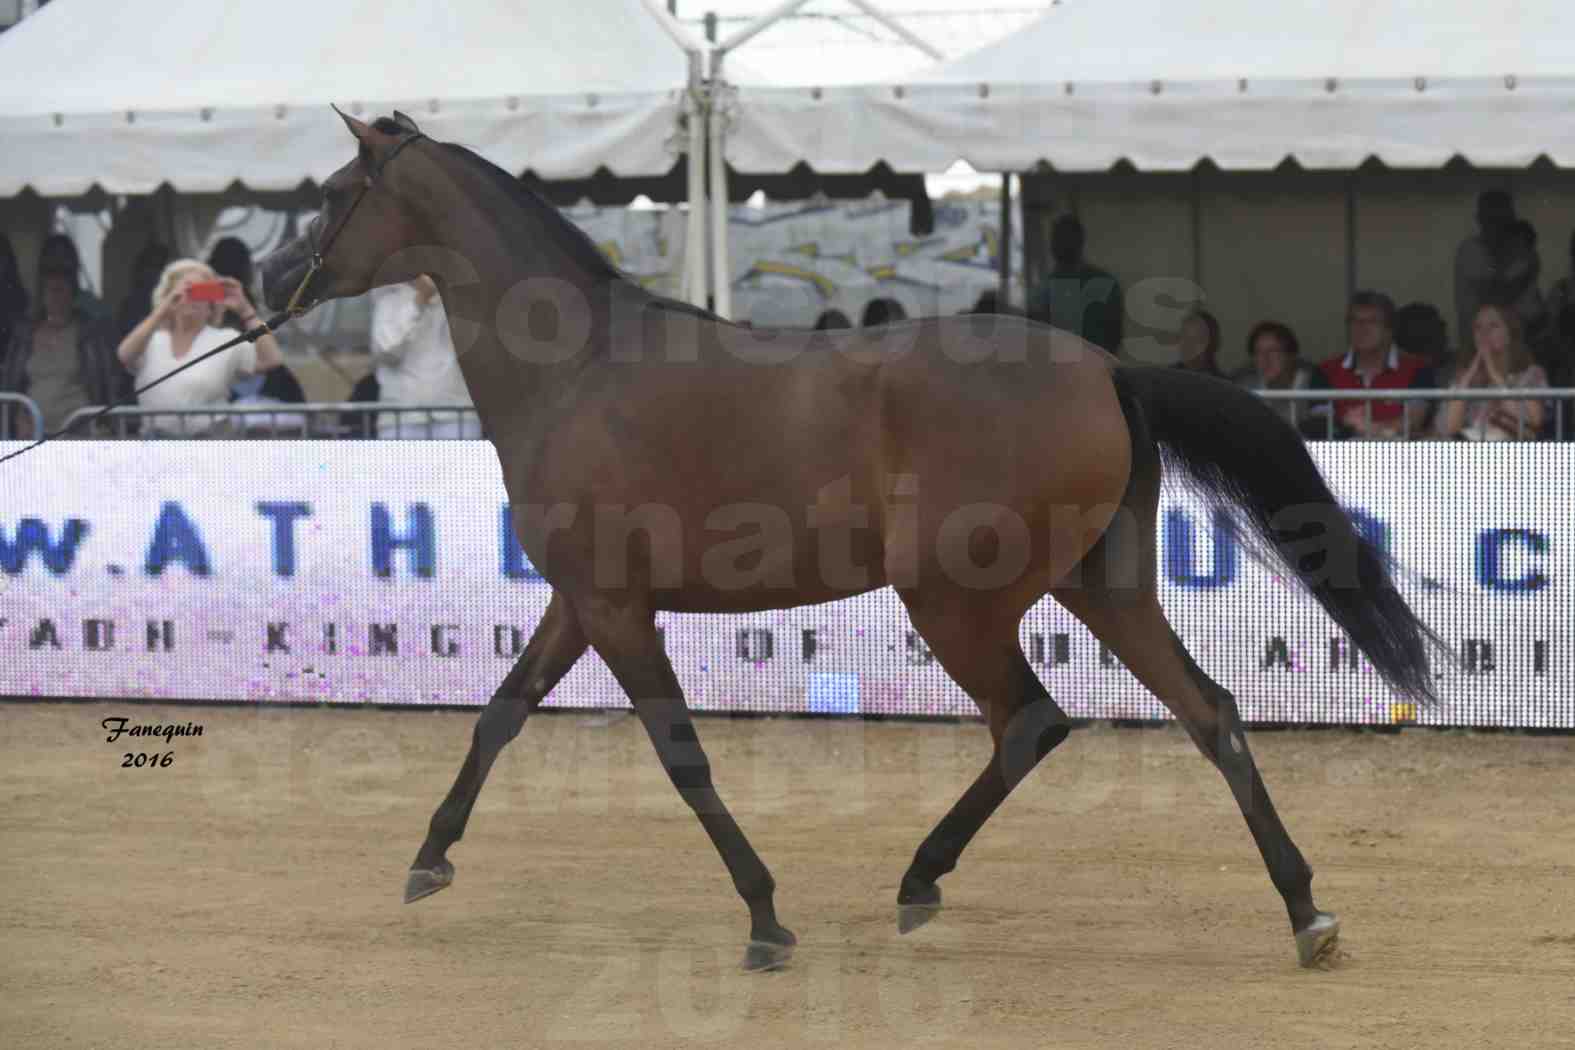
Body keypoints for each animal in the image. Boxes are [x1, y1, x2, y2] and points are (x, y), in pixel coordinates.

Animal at [264, 110, 1442, 976]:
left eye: (329, 194)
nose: (273, 286)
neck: (580, 368)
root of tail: (1108, 369)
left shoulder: (614, 608)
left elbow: (677, 754)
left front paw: (764, 919)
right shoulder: (579, 604)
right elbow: (500, 716)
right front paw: (429, 859)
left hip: (957, 602)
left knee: (1032, 722)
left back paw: (922, 881)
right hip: (1100, 587)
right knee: (1213, 715)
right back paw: (1304, 912)